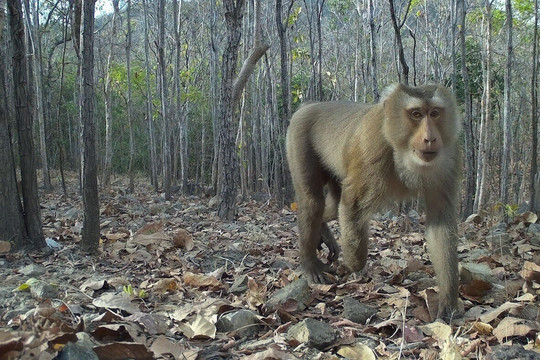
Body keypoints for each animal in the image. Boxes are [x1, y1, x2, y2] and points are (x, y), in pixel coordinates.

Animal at [286, 83, 460, 320]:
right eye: (416, 114)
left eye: (434, 113)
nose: (430, 138)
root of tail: (309, 105)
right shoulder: (371, 147)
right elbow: (353, 205)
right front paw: (354, 264)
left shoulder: (449, 158)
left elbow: (440, 223)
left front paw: (448, 299)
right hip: (298, 136)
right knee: (313, 202)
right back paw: (310, 262)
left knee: (332, 204)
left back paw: (323, 230)